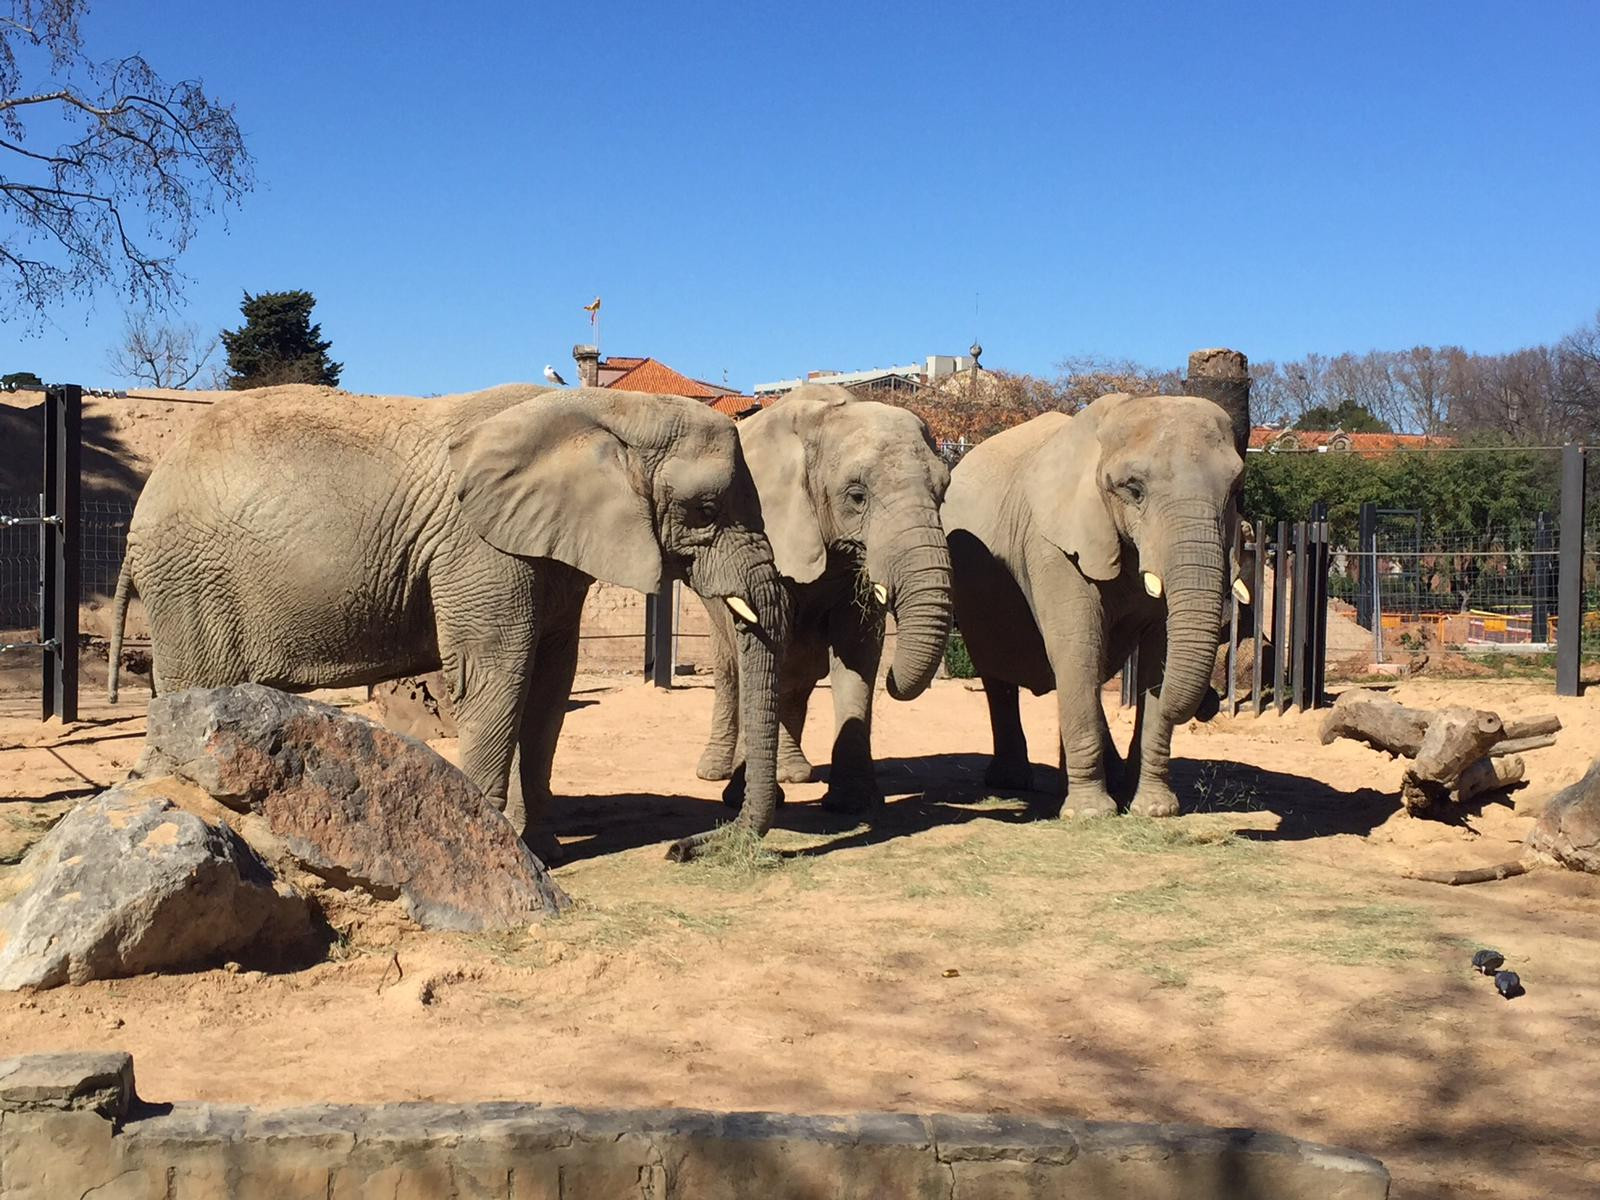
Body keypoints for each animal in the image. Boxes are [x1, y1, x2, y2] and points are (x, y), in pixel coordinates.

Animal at [109, 385, 790, 864]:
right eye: (706, 509)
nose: (683, 848)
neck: (608, 409)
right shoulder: (478, 548)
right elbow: (494, 676)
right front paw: (499, 844)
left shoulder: (546, 552)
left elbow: (551, 683)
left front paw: (543, 849)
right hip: (193, 585)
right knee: (192, 693)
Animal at [691, 387, 947, 819]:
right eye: (857, 496)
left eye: (943, 492)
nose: (894, 681)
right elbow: (761, 648)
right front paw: (739, 798)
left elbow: (858, 652)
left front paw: (854, 803)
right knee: (732, 666)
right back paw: (713, 772)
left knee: (797, 671)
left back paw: (794, 773)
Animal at [940, 392, 1241, 819]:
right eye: (1134, 490)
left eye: (1236, 489)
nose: (1210, 705)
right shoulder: (1052, 547)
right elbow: (1077, 647)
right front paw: (1090, 814)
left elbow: (1159, 654)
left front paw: (1154, 809)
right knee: (999, 675)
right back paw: (1013, 781)